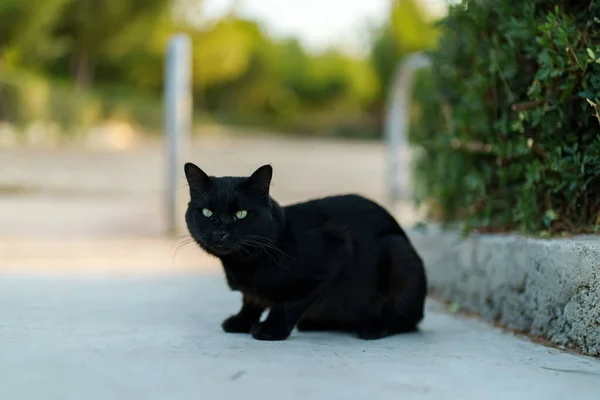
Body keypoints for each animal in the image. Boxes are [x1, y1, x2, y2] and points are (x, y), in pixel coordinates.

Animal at [183, 162, 426, 340]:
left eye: (241, 214)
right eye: (207, 212)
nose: (220, 232)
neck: (243, 263)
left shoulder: (333, 252)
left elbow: (287, 303)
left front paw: (271, 329)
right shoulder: (251, 291)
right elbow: (250, 300)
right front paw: (242, 321)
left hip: (399, 253)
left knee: (405, 319)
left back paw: (373, 327)